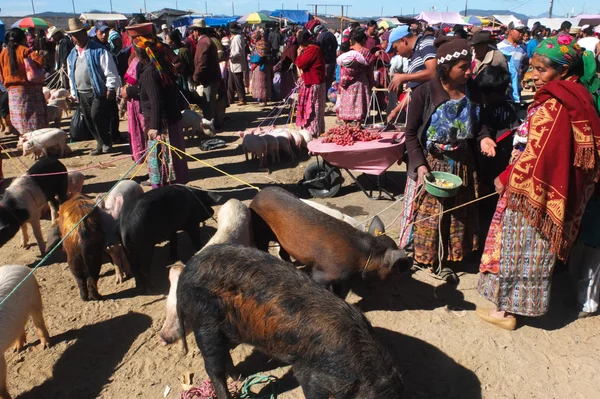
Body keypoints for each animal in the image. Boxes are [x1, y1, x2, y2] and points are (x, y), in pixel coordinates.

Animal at [248, 186, 408, 292]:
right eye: (395, 266)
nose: (408, 264)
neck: (364, 256)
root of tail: (258, 194)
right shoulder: (325, 272)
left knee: (283, 252)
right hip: (260, 230)